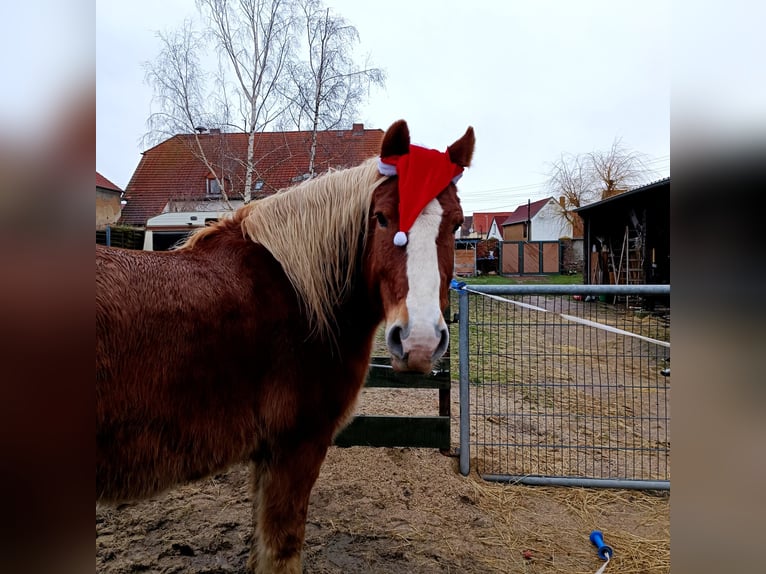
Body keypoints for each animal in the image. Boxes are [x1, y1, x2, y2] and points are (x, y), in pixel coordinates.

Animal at [99, 119, 476, 572]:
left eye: (455, 225)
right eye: (382, 218)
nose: (419, 341)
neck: (299, 296)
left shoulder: (267, 455)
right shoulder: (296, 447)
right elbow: (282, 549)